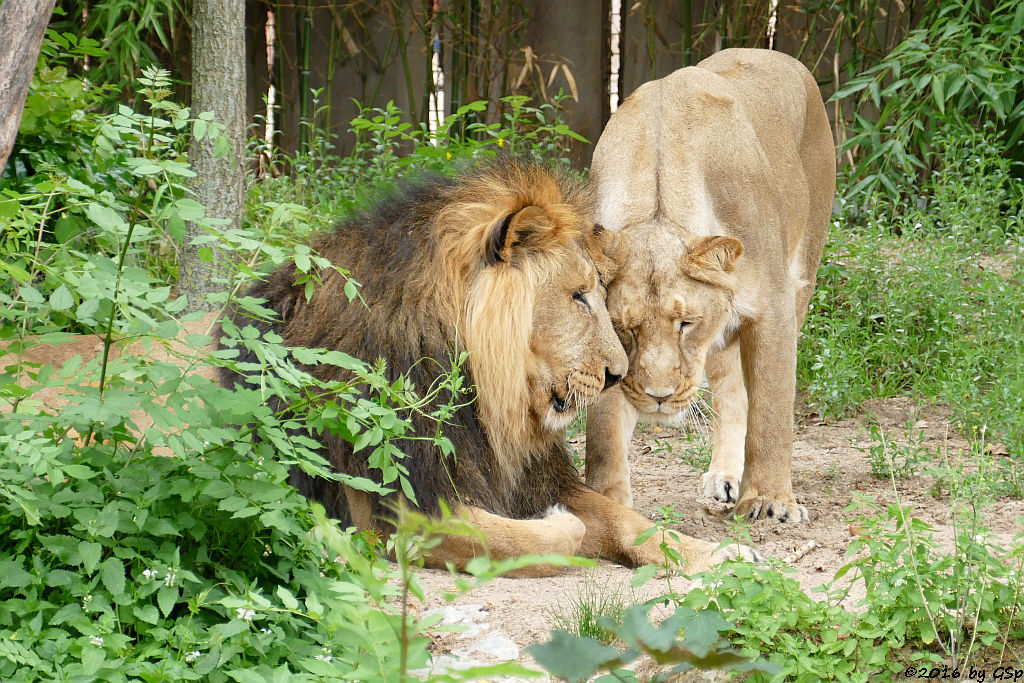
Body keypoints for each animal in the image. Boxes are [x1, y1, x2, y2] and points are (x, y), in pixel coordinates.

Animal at [222, 161, 753, 577]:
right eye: (579, 295)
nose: (617, 376)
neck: (490, 403)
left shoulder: (530, 475)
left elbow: (630, 522)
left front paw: (715, 555)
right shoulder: (399, 508)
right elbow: (532, 538)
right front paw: (559, 522)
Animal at [589, 48, 835, 520]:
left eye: (686, 323)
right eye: (626, 329)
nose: (659, 396)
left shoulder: (773, 306)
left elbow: (772, 408)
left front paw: (771, 501)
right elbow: (605, 427)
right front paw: (606, 502)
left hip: (803, 273)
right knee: (732, 393)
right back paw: (725, 476)